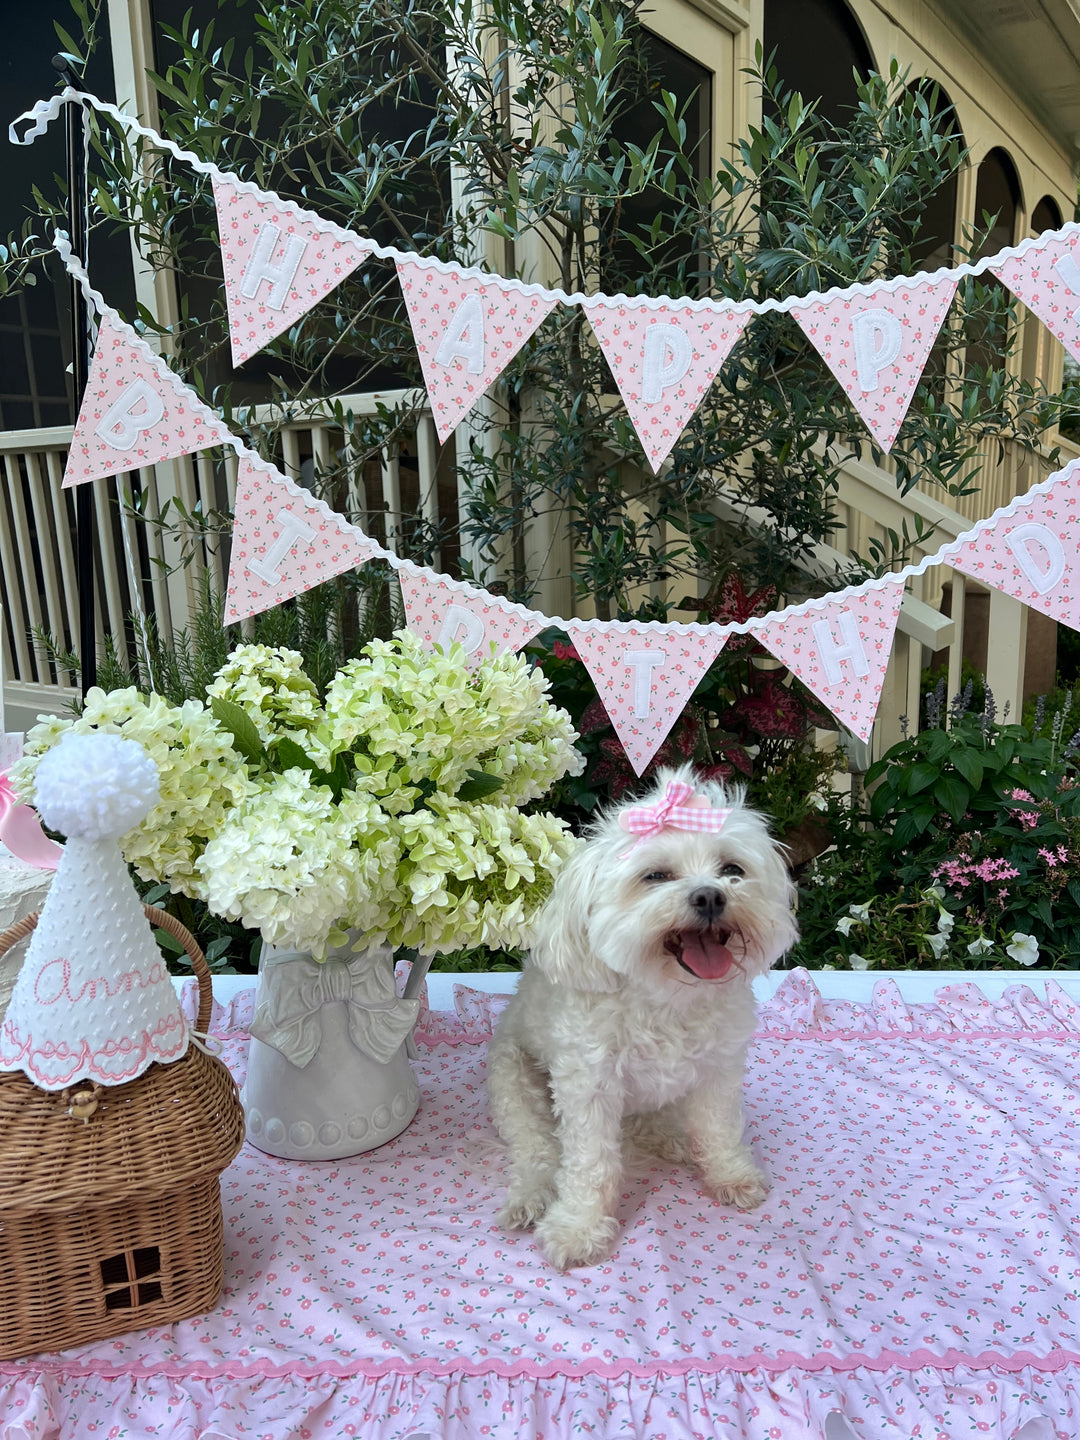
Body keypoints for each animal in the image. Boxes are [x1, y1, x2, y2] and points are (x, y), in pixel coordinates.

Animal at [486, 766, 800, 1272]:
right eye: (655, 876)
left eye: (732, 869)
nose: (710, 897)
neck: (666, 998)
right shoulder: (587, 1087)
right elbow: (589, 1163)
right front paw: (579, 1228)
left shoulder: (718, 1072)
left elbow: (718, 1127)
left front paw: (730, 1174)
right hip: (514, 1081)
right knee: (537, 1148)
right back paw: (531, 1197)